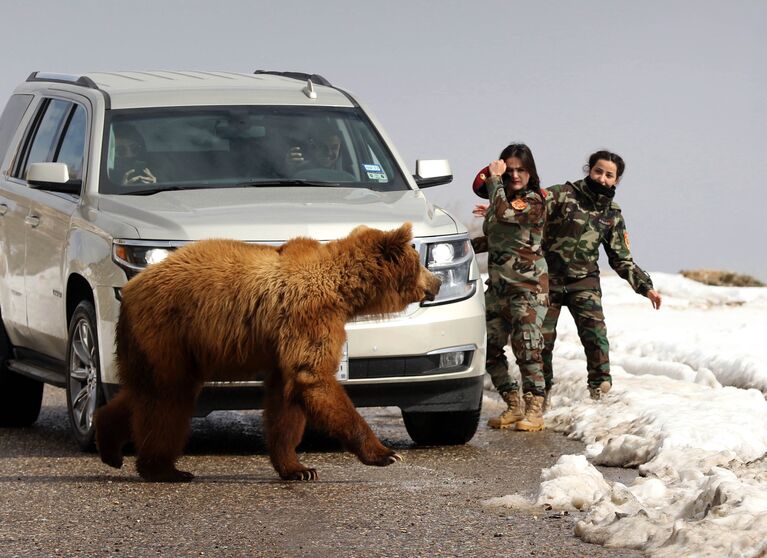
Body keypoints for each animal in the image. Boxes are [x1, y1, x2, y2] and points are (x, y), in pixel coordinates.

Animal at [95, 225, 440, 484]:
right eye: (418, 263)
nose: (436, 282)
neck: (342, 291)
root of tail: (131, 289)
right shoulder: (309, 315)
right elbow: (312, 376)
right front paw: (386, 453)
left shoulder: (283, 343)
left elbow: (285, 400)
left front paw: (299, 468)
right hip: (169, 329)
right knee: (168, 396)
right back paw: (164, 469)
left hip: (158, 343)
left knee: (145, 390)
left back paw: (109, 443)